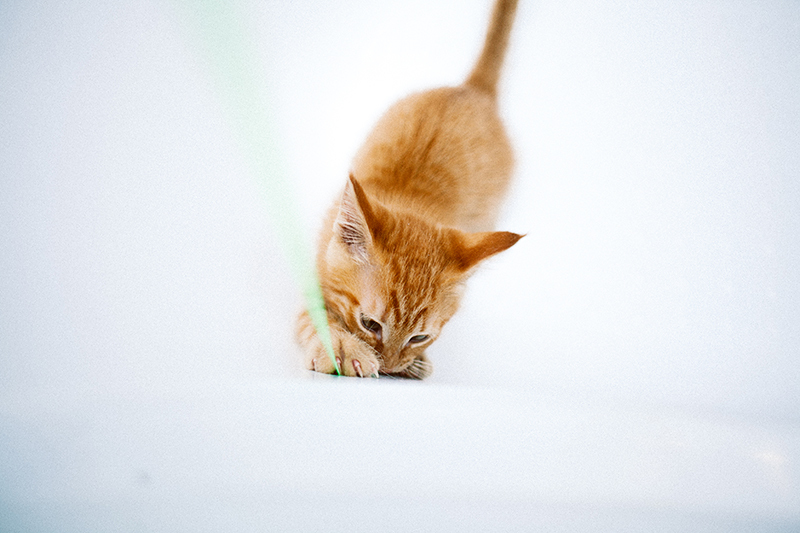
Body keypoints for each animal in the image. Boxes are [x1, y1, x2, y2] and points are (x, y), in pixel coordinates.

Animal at [296, 0, 520, 378]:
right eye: (369, 323)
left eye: (420, 337)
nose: (389, 367)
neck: (411, 200)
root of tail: (472, 90)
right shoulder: (317, 268)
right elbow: (312, 314)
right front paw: (342, 345)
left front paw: (416, 364)